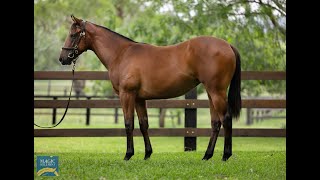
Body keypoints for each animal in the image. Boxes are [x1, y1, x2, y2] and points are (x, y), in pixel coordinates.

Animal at [58, 15, 241, 161]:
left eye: (73, 34)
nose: (62, 58)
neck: (121, 53)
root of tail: (227, 45)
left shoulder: (126, 95)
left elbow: (128, 123)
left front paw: (128, 154)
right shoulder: (139, 99)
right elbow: (143, 124)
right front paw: (147, 154)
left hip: (217, 93)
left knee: (226, 119)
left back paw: (226, 155)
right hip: (211, 93)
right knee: (216, 123)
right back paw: (207, 156)